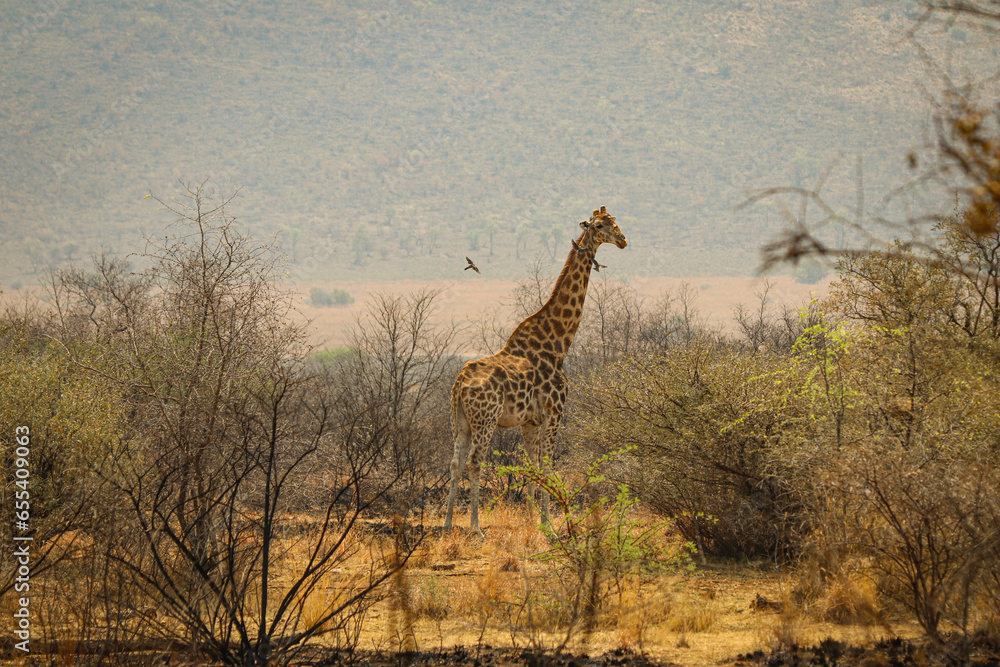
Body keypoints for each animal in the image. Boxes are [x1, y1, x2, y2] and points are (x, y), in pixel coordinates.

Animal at [443, 206, 628, 535]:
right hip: (486, 418)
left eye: (615, 222)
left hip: (460, 419)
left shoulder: (529, 420)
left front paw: (532, 523)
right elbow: (549, 466)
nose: (623, 240)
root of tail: (460, 385)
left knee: (454, 462)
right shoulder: (555, 411)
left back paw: (448, 524)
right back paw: (475, 527)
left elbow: (532, 467)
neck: (559, 342)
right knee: (475, 461)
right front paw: (551, 527)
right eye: (599, 225)